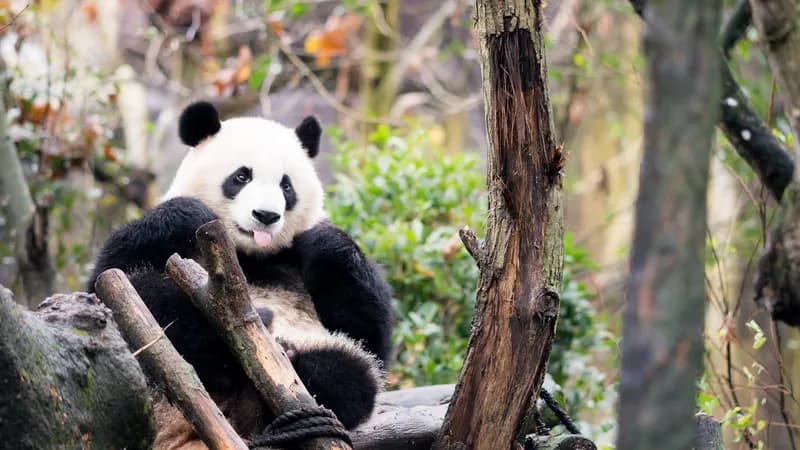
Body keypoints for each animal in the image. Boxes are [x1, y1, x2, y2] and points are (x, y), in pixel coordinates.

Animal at [87, 101, 394, 448]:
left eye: (286, 186)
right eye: (242, 176)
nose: (266, 216)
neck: (248, 255)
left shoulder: (296, 263)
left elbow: (369, 333)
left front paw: (323, 240)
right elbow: (106, 278)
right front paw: (192, 212)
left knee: (346, 372)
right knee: (151, 302)